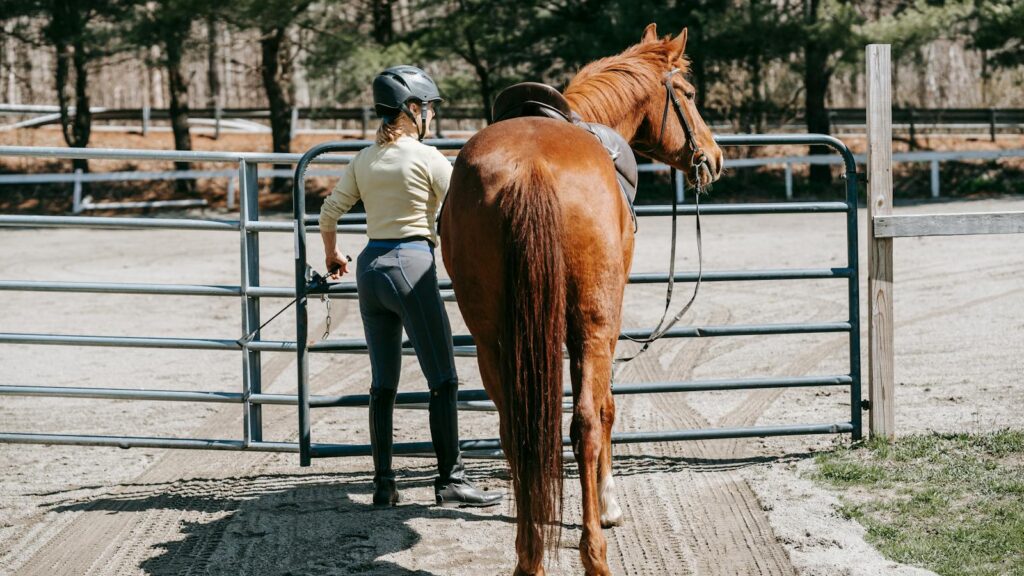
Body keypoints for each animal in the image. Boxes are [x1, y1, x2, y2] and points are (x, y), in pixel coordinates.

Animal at [439, 24, 723, 576]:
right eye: (689, 94)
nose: (714, 158)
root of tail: (530, 170)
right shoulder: (602, 324)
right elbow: (606, 408)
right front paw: (610, 505)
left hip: (492, 338)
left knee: (517, 432)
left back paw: (529, 554)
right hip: (592, 322)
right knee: (586, 423)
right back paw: (595, 553)